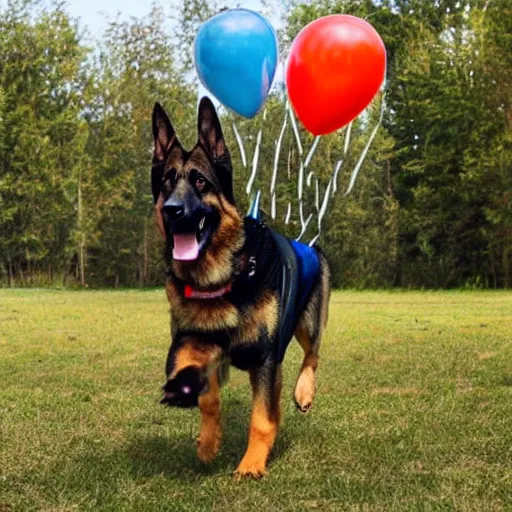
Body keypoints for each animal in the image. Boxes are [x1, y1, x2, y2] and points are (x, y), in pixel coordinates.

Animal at [150, 98, 330, 478]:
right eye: (167, 183)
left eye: (200, 181)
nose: (172, 211)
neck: (219, 279)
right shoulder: (194, 340)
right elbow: (205, 395)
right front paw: (207, 442)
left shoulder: (264, 359)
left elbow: (261, 418)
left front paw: (251, 463)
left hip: (307, 324)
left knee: (313, 355)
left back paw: (304, 393)